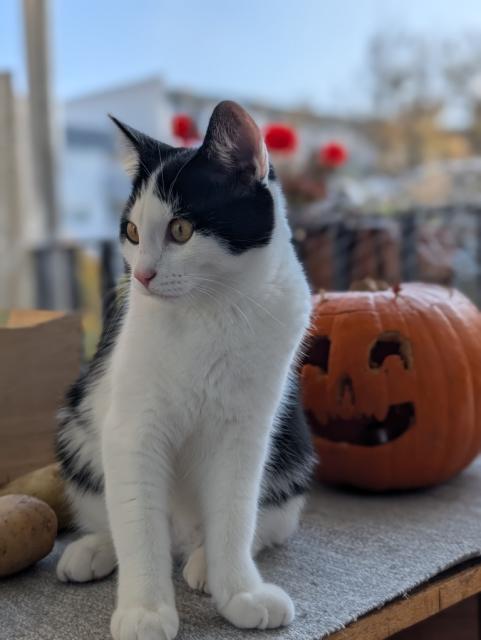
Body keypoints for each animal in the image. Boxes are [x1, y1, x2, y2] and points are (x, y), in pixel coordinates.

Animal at [56, 101, 316, 640]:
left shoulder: (246, 431)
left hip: (293, 450)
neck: (209, 311)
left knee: (261, 522)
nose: (142, 275)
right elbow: (136, 519)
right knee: (117, 512)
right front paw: (145, 610)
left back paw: (202, 562)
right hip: (77, 426)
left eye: (181, 230)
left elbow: (236, 511)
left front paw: (238, 592)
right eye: (132, 232)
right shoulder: (131, 426)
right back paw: (93, 549)